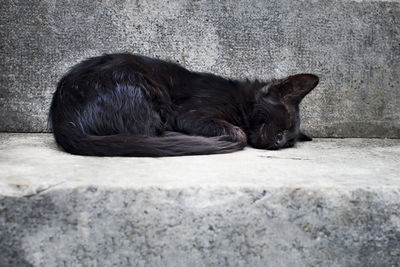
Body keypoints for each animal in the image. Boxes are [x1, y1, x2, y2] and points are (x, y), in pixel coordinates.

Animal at [49, 52, 318, 157]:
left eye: (289, 142)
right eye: (285, 124)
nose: (279, 142)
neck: (241, 100)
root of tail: (63, 120)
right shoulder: (191, 113)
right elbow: (239, 133)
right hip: (141, 82)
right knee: (145, 132)